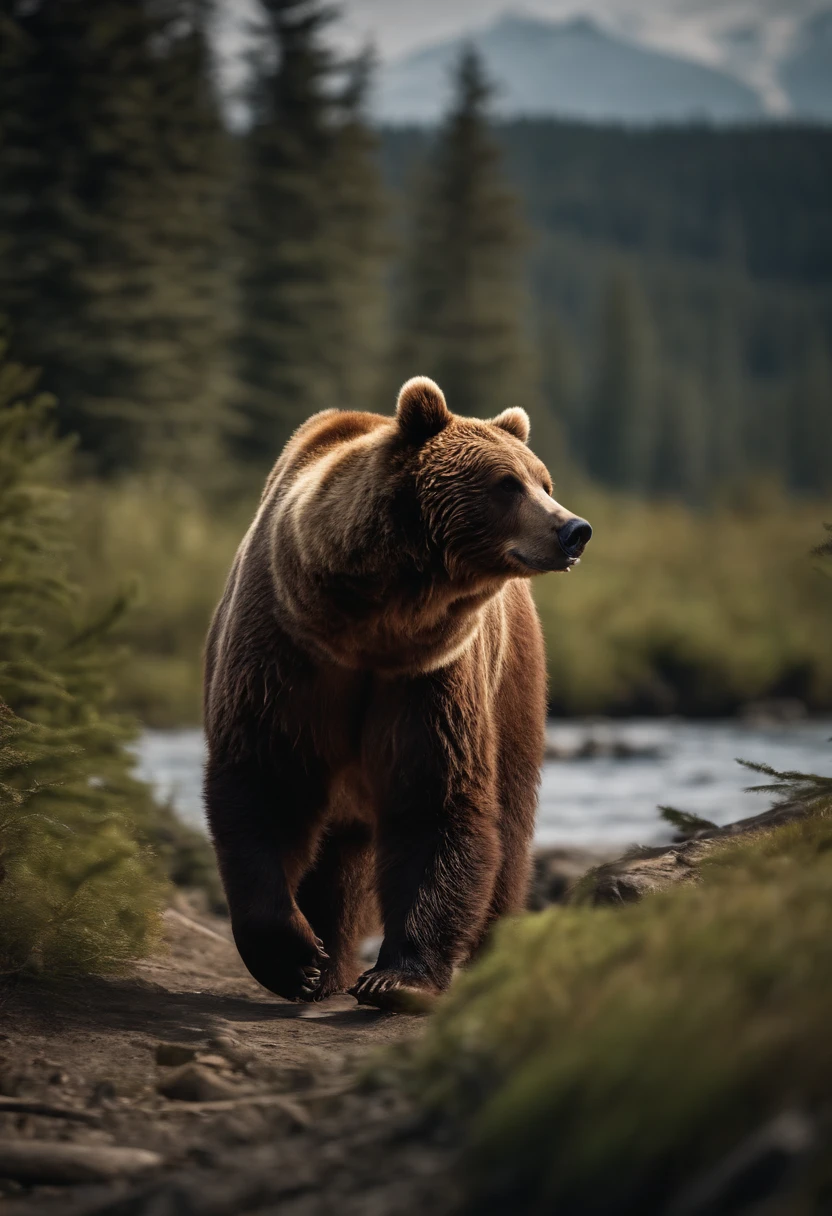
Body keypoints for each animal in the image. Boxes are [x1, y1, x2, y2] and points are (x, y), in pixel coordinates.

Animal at [204, 374, 588, 1011]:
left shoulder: (431, 676)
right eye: (507, 483)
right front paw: (295, 958)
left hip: (513, 686)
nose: (573, 529)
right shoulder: (287, 651)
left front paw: (397, 977)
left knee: (508, 824)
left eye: (544, 481)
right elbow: (266, 778)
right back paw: (327, 965)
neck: (375, 620)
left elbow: (434, 797)